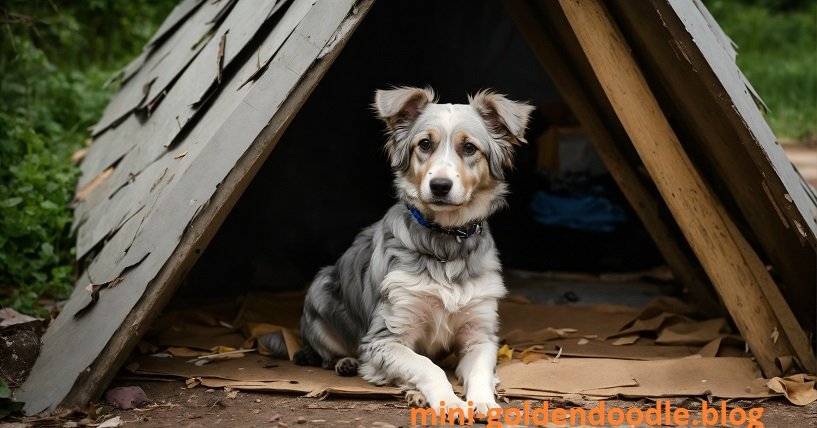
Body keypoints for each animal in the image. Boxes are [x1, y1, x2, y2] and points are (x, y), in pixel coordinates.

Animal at [290, 85, 532, 416]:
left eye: (469, 148)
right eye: (425, 144)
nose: (440, 185)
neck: (445, 242)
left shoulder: (480, 336)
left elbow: (480, 371)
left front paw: (484, 402)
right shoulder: (384, 339)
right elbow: (428, 366)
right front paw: (449, 402)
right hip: (320, 288)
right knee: (328, 355)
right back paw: (348, 363)